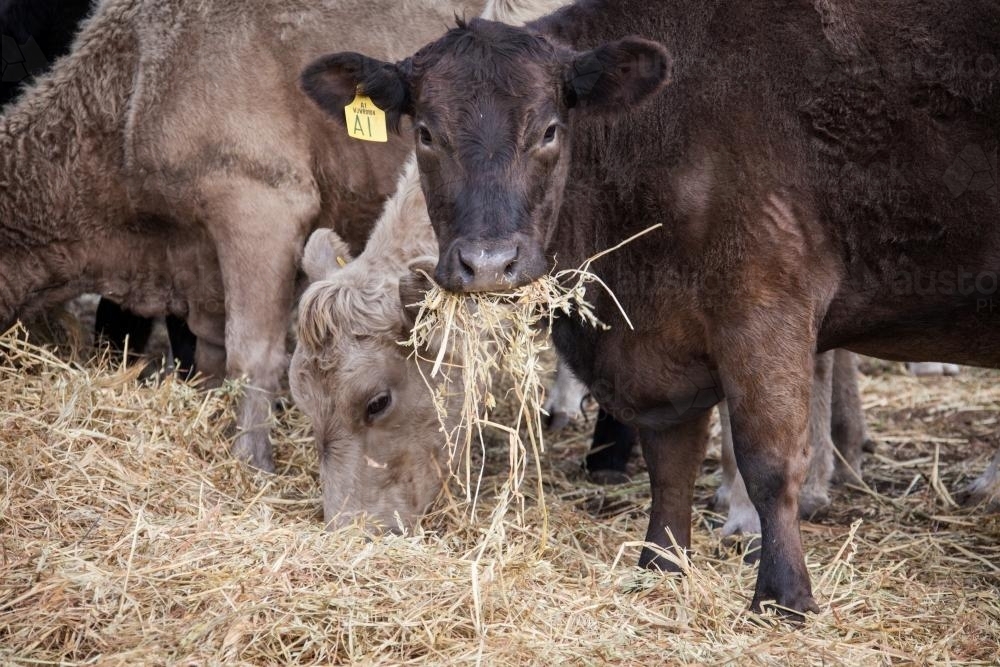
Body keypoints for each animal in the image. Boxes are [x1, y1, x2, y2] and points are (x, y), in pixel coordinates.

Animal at [301, 1, 1000, 616]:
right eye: (425, 133)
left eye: (549, 130)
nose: (488, 263)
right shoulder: (660, 342)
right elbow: (670, 460)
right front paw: (661, 567)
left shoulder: (765, 302)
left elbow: (769, 459)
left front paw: (782, 594)